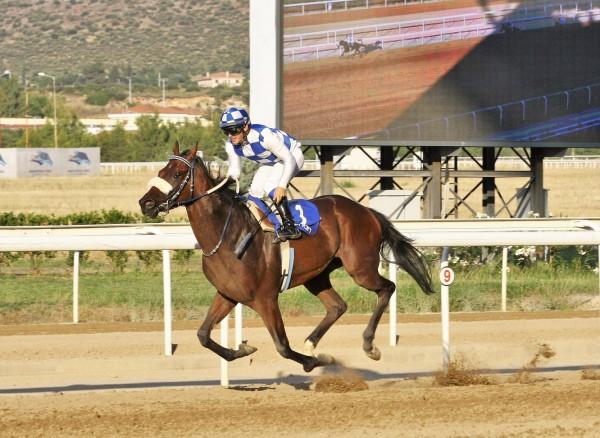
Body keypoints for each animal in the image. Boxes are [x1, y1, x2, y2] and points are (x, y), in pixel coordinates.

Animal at [138, 141, 434, 372]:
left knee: (387, 288)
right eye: (160, 171)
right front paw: (242, 350)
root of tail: (367, 211)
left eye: (177, 173)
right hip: (317, 274)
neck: (228, 234)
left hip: (360, 268)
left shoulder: (266, 298)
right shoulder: (228, 294)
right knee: (338, 306)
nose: (146, 203)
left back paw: (369, 345)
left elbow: (282, 346)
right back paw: (312, 343)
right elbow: (202, 334)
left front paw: (314, 362)